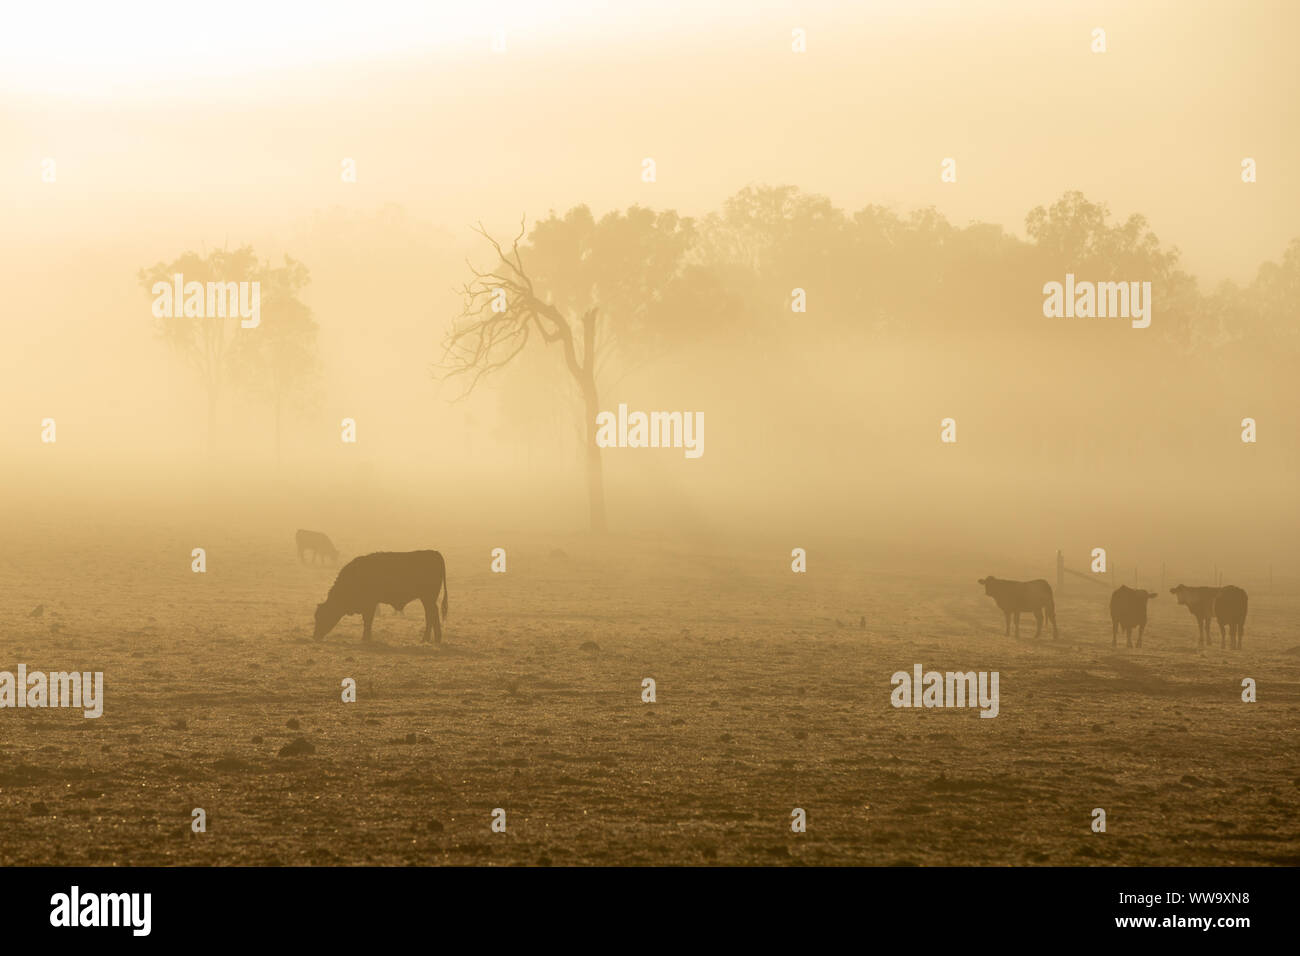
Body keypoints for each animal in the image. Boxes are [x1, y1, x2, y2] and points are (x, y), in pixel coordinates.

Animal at [315, 548, 452, 647]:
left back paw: (427, 639)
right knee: (432, 615)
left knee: (431, 615)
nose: (315, 636)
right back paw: (433, 639)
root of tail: (434, 553)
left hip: (427, 598)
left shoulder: (370, 604)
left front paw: (365, 638)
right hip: (427, 599)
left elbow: (368, 620)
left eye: (322, 616)